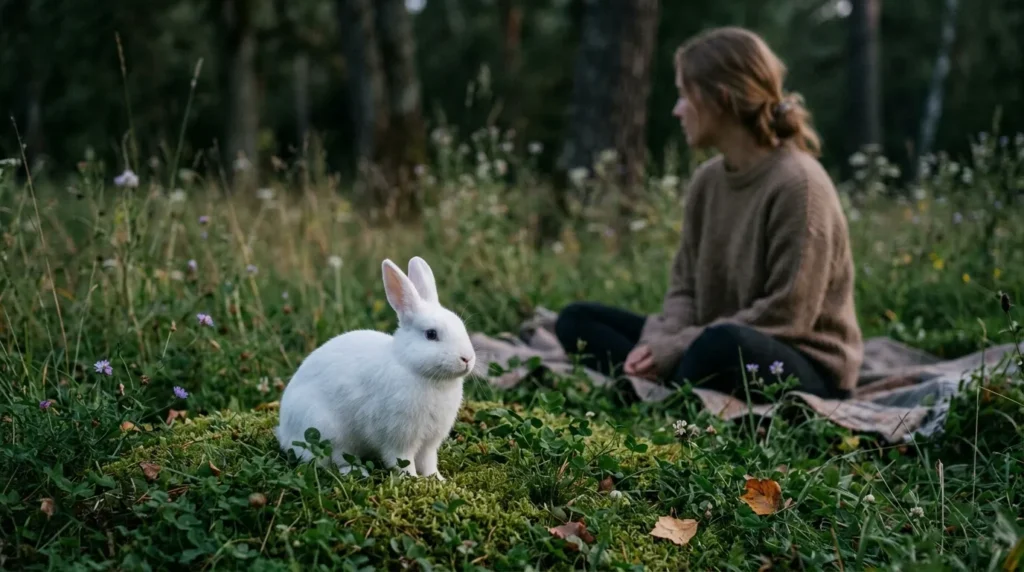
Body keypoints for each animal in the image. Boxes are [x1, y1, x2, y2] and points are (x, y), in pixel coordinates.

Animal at [275, 256, 475, 481]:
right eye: (431, 334)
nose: (467, 358)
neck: (417, 371)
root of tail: (284, 432)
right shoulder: (398, 438)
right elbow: (402, 461)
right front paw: (412, 480)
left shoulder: (429, 442)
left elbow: (429, 462)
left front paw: (438, 480)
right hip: (326, 430)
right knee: (332, 460)